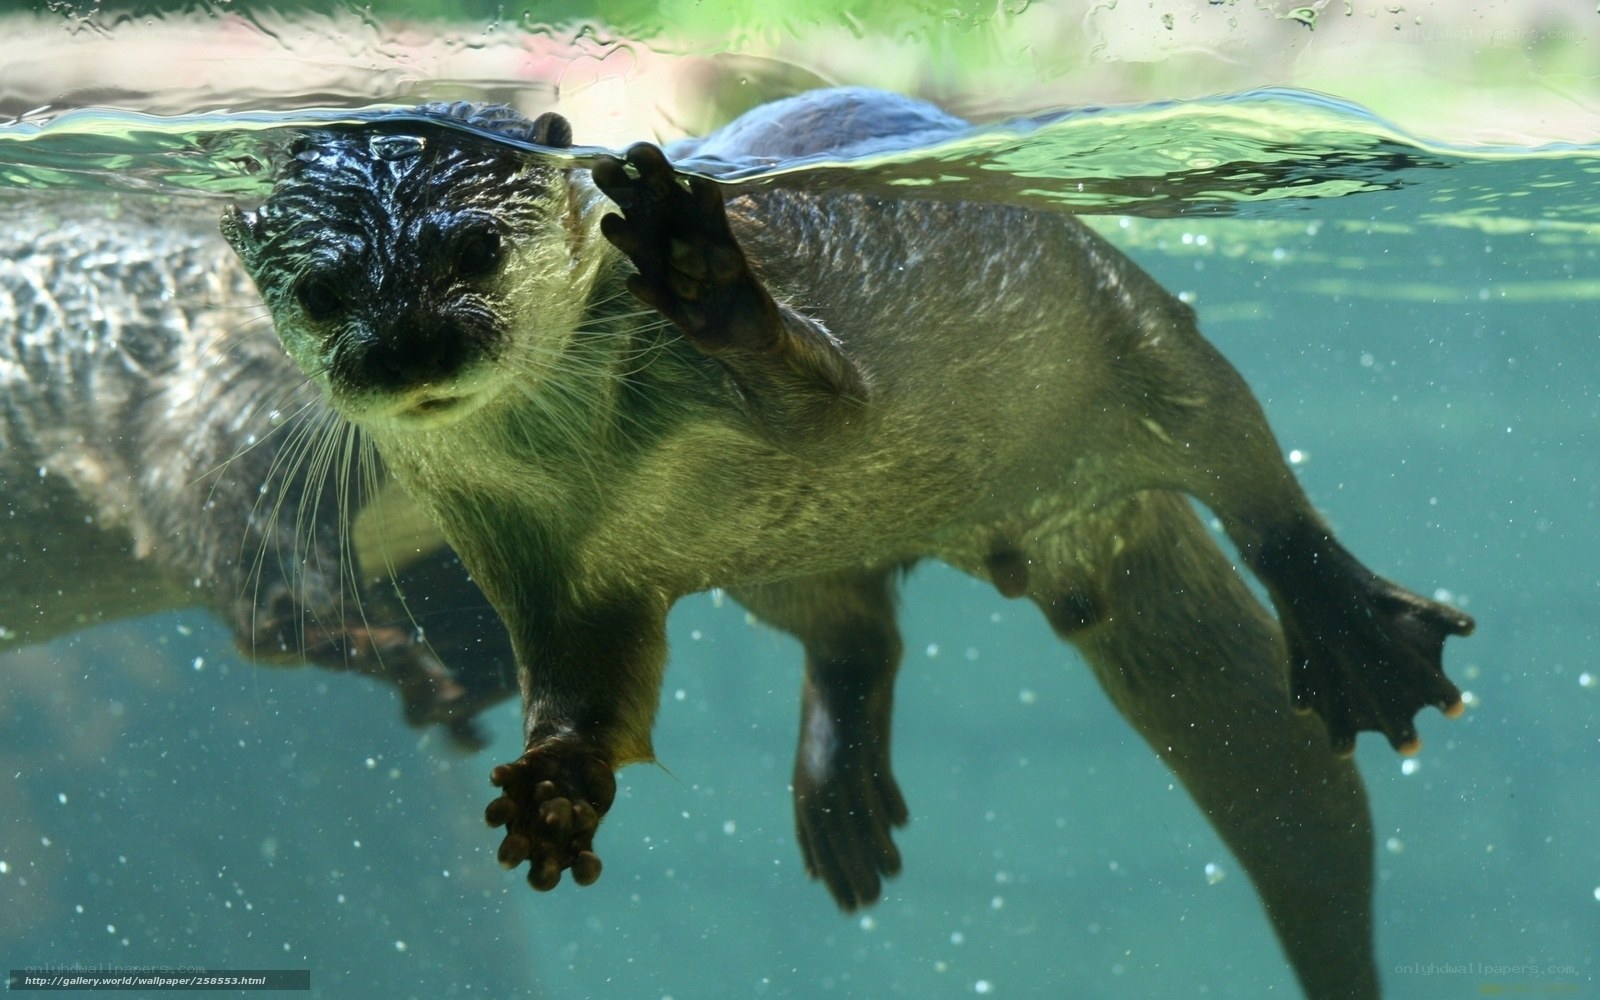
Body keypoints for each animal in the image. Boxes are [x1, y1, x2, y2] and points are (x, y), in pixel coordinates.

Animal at [223, 88, 1473, 999]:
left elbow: (829, 400)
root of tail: (1068, 524)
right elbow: (585, 679)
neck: (581, 456)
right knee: (854, 632)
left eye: (475, 248)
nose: (409, 349)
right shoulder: (524, 553)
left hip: (1129, 327)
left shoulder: (786, 379)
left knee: (1249, 470)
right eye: (324, 291)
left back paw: (1358, 636)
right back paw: (842, 796)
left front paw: (697, 270)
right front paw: (555, 788)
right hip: (784, 567)